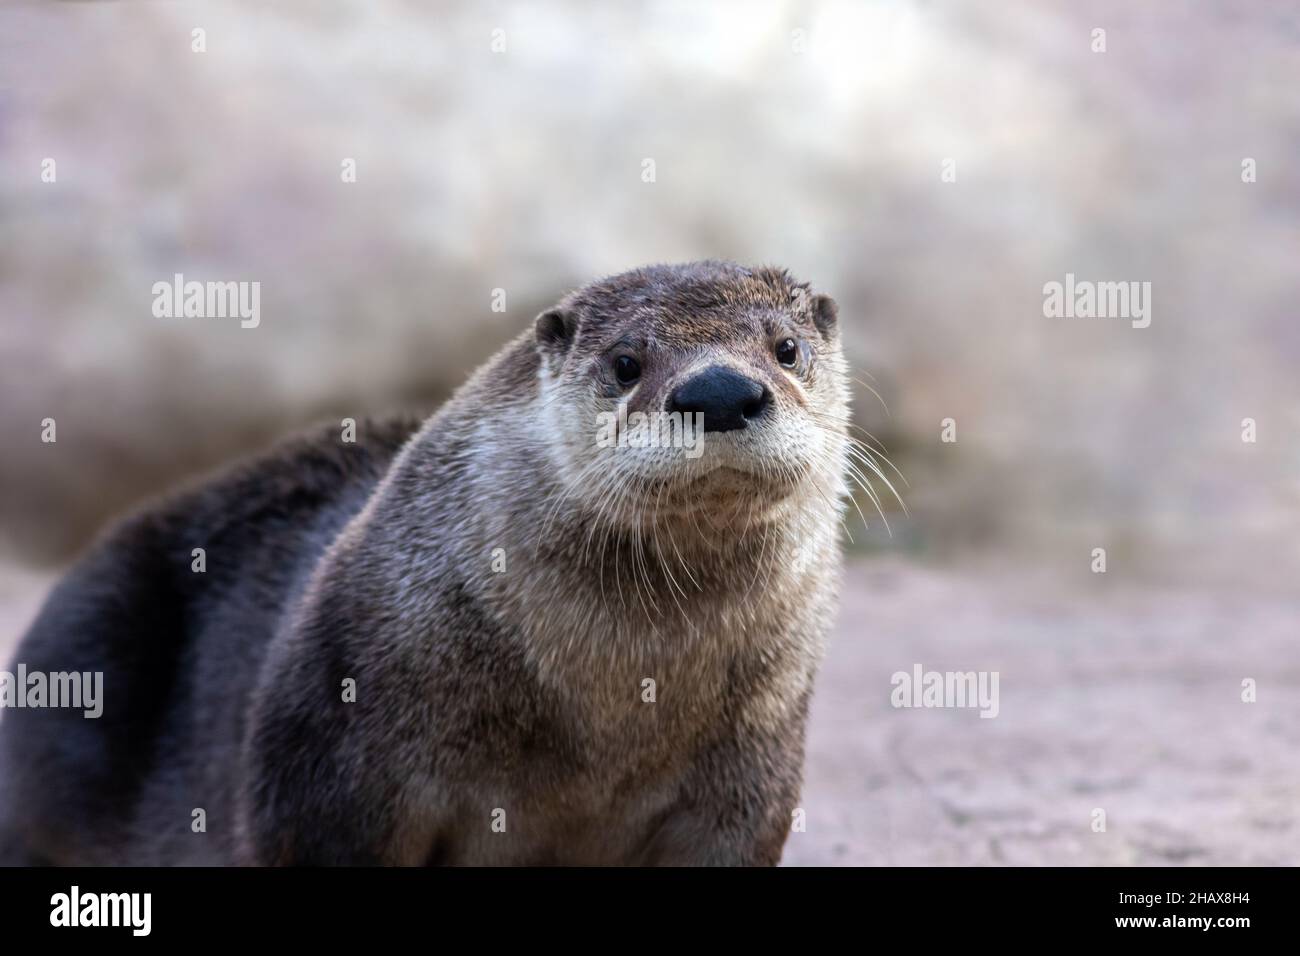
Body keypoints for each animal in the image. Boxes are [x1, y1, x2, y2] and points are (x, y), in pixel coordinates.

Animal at [2, 261, 873, 868]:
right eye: (627, 362)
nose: (720, 390)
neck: (606, 719)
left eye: (786, 348)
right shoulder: (329, 763)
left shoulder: (750, 770)